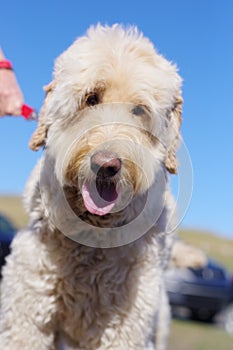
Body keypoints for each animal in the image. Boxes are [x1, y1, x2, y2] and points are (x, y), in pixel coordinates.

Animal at [0, 25, 182, 350]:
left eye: (139, 110)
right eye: (91, 98)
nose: (107, 164)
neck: (91, 236)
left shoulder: (126, 327)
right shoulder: (26, 313)